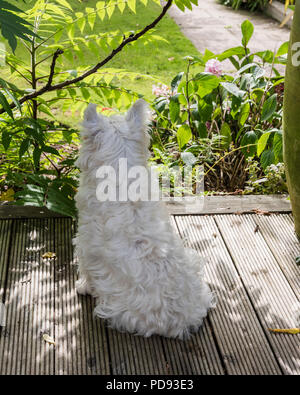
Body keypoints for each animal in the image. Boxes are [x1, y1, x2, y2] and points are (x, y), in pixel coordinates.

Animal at [72, 100, 213, 340]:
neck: (122, 175)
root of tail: (183, 322)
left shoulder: (85, 244)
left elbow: (86, 271)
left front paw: (82, 286)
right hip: (193, 263)